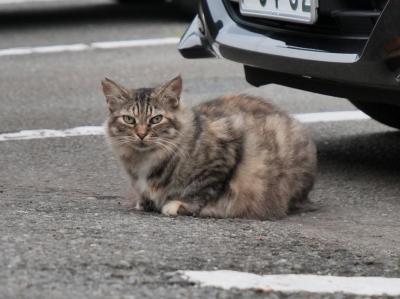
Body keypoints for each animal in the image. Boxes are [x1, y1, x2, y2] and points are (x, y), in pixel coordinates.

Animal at [101, 75, 318, 220]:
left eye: (156, 119)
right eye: (129, 119)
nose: (141, 134)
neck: (146, 160)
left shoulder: (223, 158)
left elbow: (202, 190)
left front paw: (178, 205)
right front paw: (146, 202)